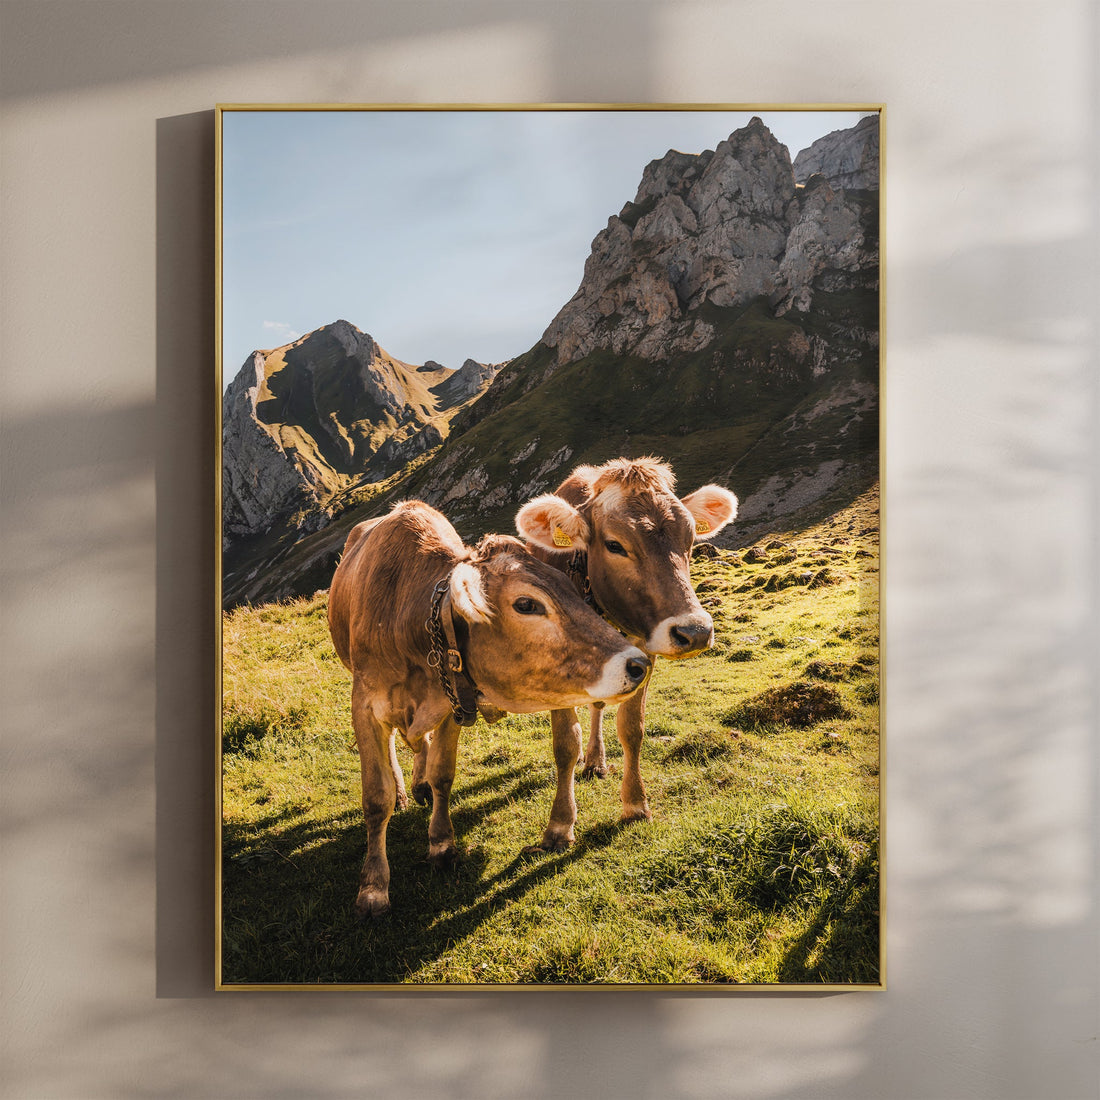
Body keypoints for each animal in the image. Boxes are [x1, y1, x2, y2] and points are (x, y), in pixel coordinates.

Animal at [327, 500, 651, 917]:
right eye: (526, 604)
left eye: (572, 591)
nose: (638, 663)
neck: (404, 617)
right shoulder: (364, 705)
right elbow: (375, 796)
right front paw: (373, 887)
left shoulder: (451, 701)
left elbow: (443, 774)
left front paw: (442, 844)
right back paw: (402, 788)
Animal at [515, 458, 738, 850]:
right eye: (615, 545)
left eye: (690, 539)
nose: (695, 632)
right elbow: (565, 743)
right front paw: (559, 825)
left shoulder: (645, 651)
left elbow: (632, 728)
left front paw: (635, 804)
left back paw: (596, 760)